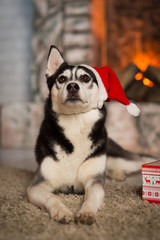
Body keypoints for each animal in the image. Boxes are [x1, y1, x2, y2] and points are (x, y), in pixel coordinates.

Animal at [26, 45, 156, 225]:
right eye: (62, 79)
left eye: (85, 78)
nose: (72, 86)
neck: (75, 123)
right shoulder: (37, 185)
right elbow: (52, 197)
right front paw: (62, 211)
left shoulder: (94, 182)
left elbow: (92, 197)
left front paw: (86, 213)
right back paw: (116, 173)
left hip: (125, 159)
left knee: (138, 160)